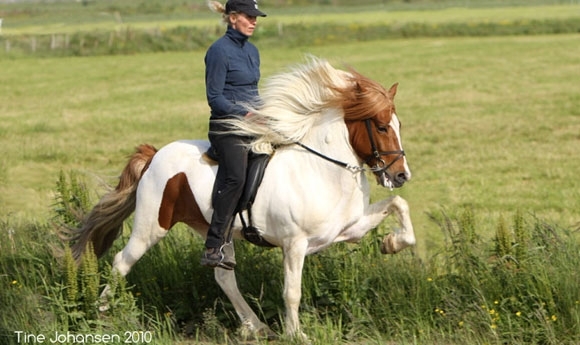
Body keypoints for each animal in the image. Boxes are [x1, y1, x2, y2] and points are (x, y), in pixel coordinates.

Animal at [65, 57, 414, 338]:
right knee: (122, 261)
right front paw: (296, 334)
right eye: (381, 127)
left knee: (223, 276)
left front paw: (392, 243)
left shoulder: (348, 229)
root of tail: (154, 155)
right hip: (152, 226)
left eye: (399, 124)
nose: (401, 176)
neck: (322, 168)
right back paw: (102, 315)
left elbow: (399, 205)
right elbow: (292, 291)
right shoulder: (294, 243)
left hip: (217, 231)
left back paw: (256, 326)